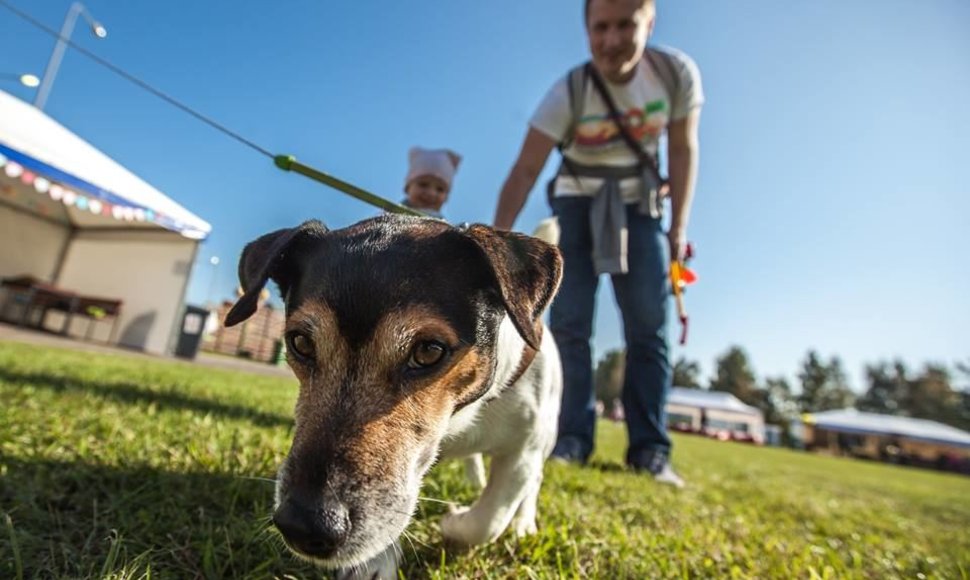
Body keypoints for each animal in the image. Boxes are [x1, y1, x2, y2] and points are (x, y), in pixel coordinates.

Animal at [224, 215, 564, 576]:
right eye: (300, 342)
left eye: (429, 351)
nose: (304, 525)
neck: (456, 420)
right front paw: (375, 563)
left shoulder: (522, 452)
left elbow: (489, 520)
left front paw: (454, 521)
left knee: (532, 483)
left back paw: (523, 524)